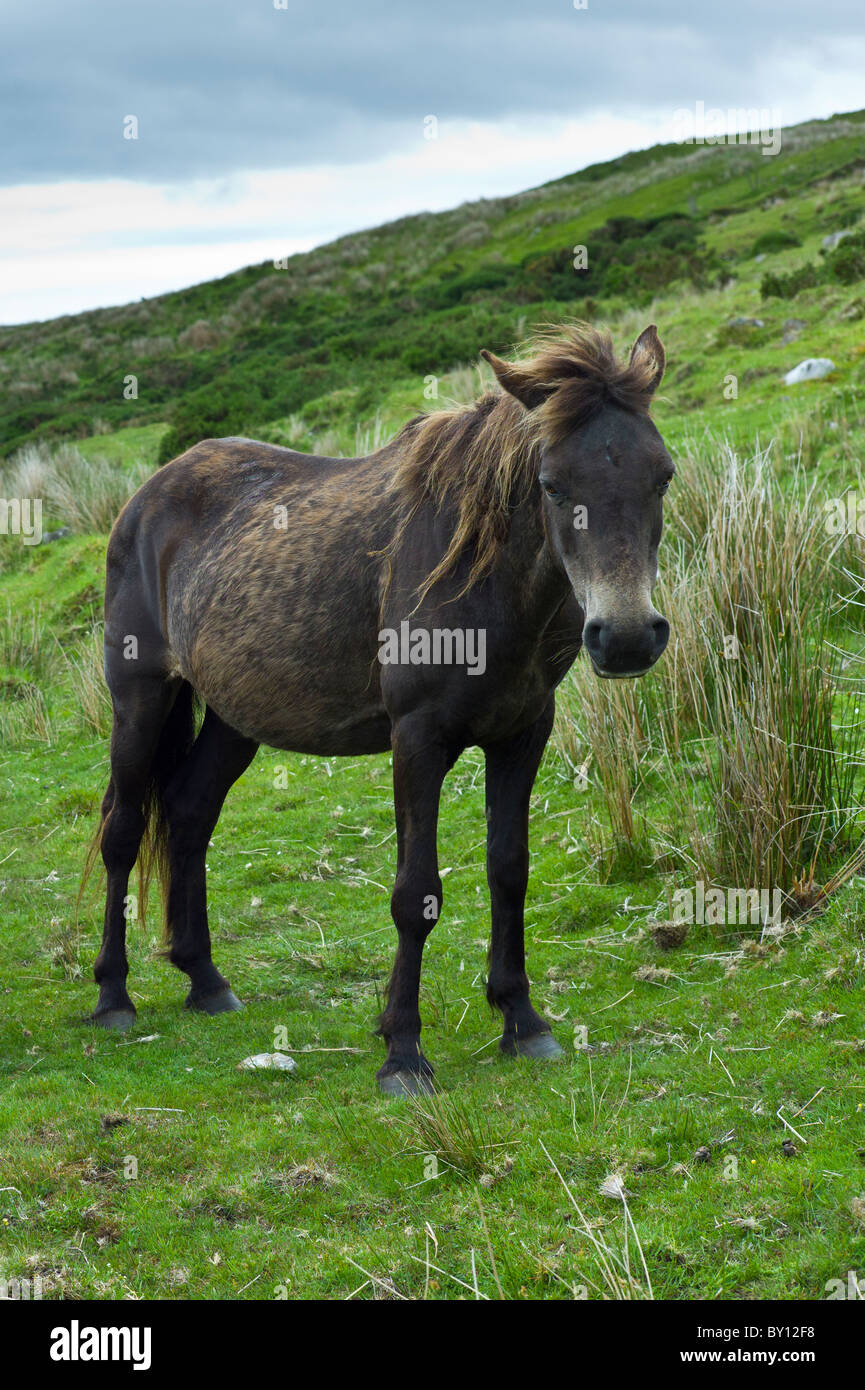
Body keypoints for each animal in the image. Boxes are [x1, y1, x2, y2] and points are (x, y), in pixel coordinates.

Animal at [89, 325, 678, 1095]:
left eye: (661, 476)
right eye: (552, 485)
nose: (627, 636)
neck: (481, 575)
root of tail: (144, 498)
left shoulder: (523, 732)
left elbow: (509, 870)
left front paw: (522, 1021)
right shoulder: (418, 739)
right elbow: (414, 893)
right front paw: (402, 1049)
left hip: (234, 719)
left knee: (188, 815)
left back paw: (206, 981)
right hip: (141, 701)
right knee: (123, 833)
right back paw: (112, 995)